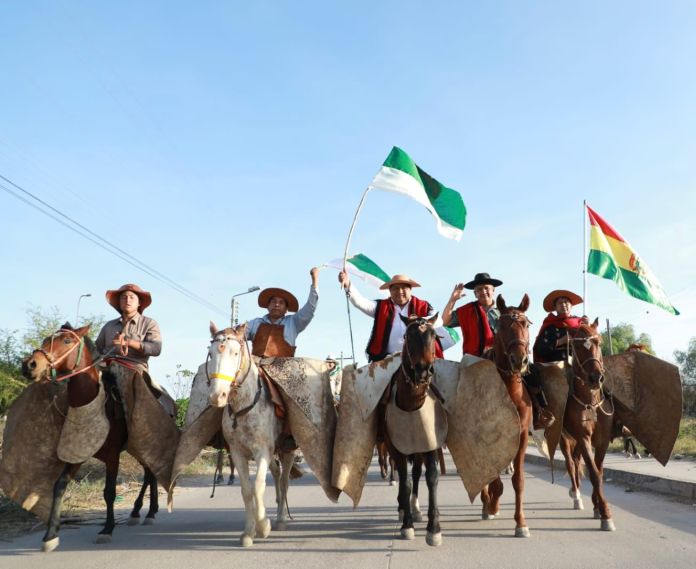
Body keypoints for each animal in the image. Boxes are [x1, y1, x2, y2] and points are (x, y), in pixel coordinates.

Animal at [21, 324, 161, 552]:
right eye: (45, 340)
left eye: (67, 340)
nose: (30, 364)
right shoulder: (77, 454)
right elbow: (59, 486)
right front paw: (50, 535)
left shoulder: (113, 456)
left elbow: (109, 492)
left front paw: (107, 529)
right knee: (150, 474)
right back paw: (145, 511)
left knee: (150, 474)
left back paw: (145, 512)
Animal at [206, 322, 295, 547]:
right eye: (211, 354)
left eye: (235, 353)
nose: (217, 396)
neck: (243, 408)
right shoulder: (238, 453)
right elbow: (246, 491)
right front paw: (248, 532)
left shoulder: (262, 451)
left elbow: (258, 487)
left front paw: (263, 526)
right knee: (277, 474)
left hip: (286, 450)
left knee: (284, 481)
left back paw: (281, 519)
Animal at [382, 314, 444, 546]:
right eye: (408, 336)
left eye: (433, 335)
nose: (423, 370)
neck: (411, 405)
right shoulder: (397, 447)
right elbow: (405, 481)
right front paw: (406, 525)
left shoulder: (430, 443)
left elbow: (431, 477)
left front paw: (434, 528)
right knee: (404, 477)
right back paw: (403, 508)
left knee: (417, 473)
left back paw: (415, 508)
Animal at [559, 319, 616, 531]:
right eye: (576, 346)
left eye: (598, 341)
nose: (595, 377)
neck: (589, 402)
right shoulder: (583, 438)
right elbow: (594, 473)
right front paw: (606, 514)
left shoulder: (602, 440)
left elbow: (598, 471)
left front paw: (597, 506)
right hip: (565, 439)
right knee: (570, 463)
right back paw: (576, 495)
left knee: (576, 461)